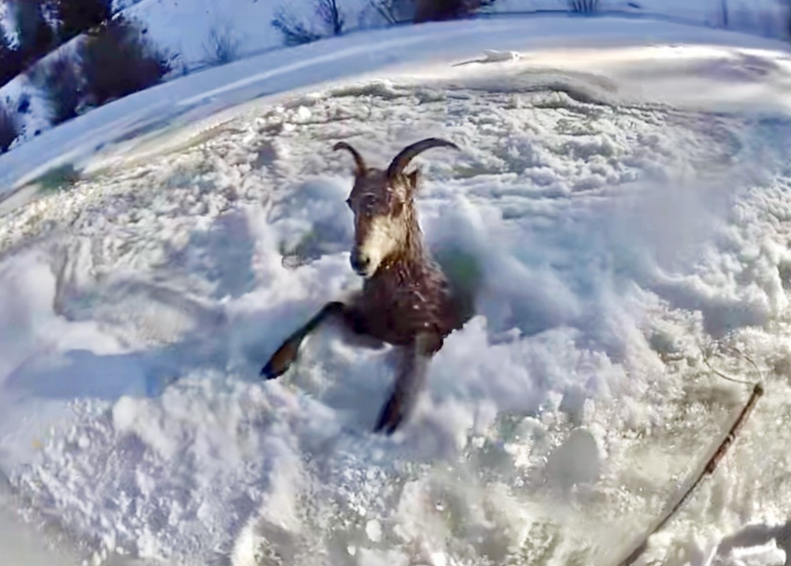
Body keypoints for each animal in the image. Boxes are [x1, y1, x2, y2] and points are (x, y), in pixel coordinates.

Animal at [261, 137, 469, 435]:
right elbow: (331, 306)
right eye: (350, 202)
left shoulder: (431, 327)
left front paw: (391, 416)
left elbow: (421, 347)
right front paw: (275, 363)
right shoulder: (364, 321)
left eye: (400, 202)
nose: (361, 260)